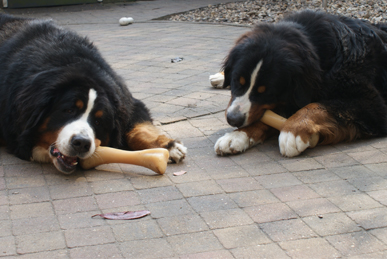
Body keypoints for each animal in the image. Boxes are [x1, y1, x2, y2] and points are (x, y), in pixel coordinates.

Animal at [0, 13, 188, 174]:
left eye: (98, 121)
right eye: (68, 110)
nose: (81, 143)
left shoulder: (129, 103)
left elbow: (139, 129)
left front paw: (169, 147)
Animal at [214, 9, 387, 156]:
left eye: (266, 92)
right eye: (237, 81)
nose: (233, 119)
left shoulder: (372, 105)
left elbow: (316, 106)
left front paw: (292, 131)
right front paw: (237, 136)